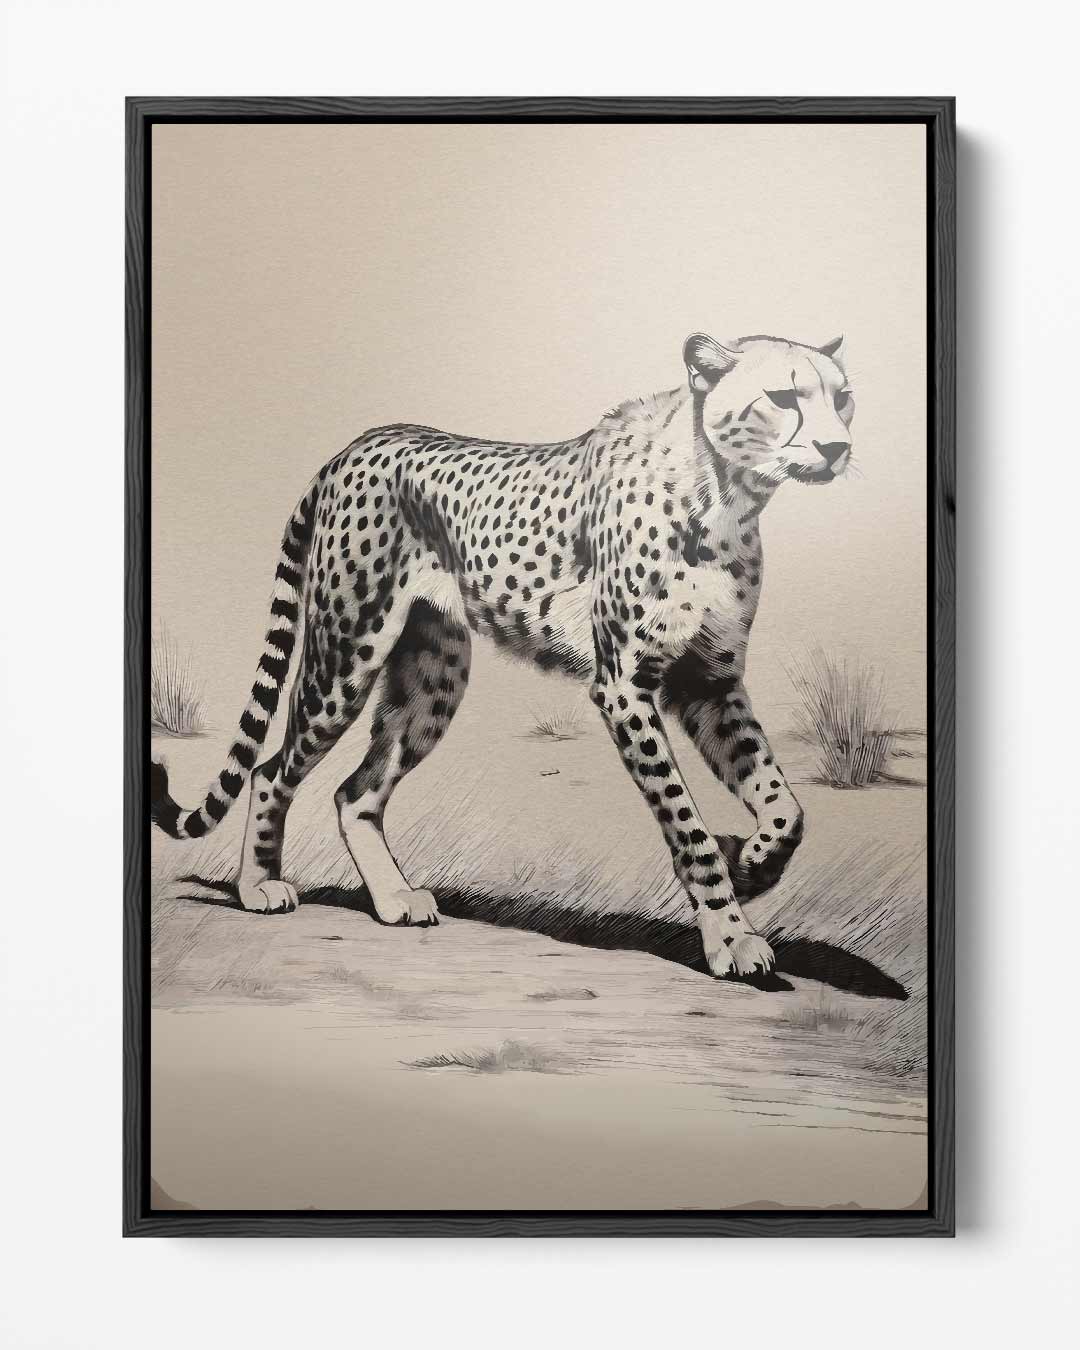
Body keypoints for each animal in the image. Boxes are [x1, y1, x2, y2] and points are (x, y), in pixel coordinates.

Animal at [150, 330, 854, 980]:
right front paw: (730, 935)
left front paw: (754, 864)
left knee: (356, 792)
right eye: (784, 397)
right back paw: (257, 886)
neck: (724, 493)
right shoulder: (625, 686)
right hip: (345, 656)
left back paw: (394, 898)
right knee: (273, 770)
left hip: (433, 677)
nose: (838, 448)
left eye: (843, 397)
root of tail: (357, 444)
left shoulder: (708, 679)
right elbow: (689, 826)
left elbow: (785, 805)